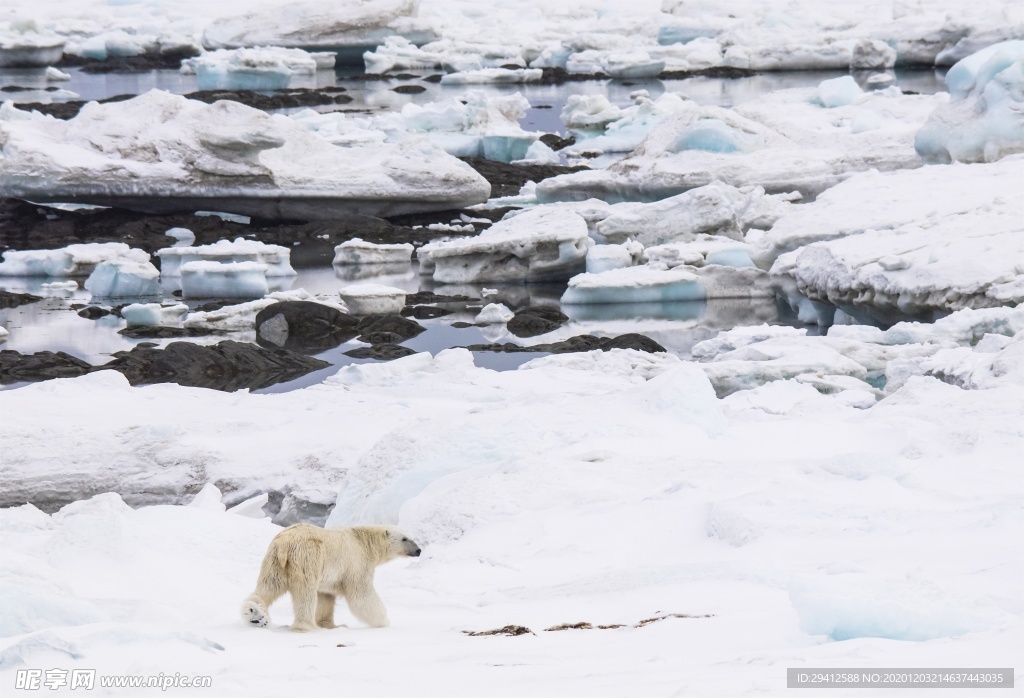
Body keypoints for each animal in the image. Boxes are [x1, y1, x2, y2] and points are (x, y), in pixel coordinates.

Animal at [239, 521, 419, 630]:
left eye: (411, 537)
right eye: (405, 539)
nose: (418, 550)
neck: (364, 541)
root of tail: (285, 544)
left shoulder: (330, 578)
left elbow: (326, 598)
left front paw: (330, 625)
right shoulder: (357, 563)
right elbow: (361, 595)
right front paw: (383, 621)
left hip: (275, 563)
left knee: (267, 587)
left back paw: (256, 615)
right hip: (307, 558)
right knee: (305, 595)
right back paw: (306, 626)